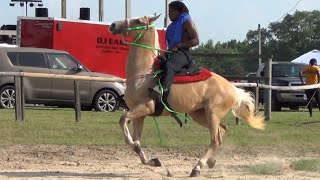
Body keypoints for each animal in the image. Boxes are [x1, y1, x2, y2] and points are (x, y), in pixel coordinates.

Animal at [110, 14, 264, 177]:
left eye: (138, 21)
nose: (113, 25)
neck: (144, 74)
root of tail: (232, 88)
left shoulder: (144, 107)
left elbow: (123, 120)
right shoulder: (140, 115)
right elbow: (137, 141)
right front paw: (154, 161)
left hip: (212, 114)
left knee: (215, 139)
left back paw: (197, 168)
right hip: (200, 115)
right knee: (222, 131)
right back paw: (210, 162)